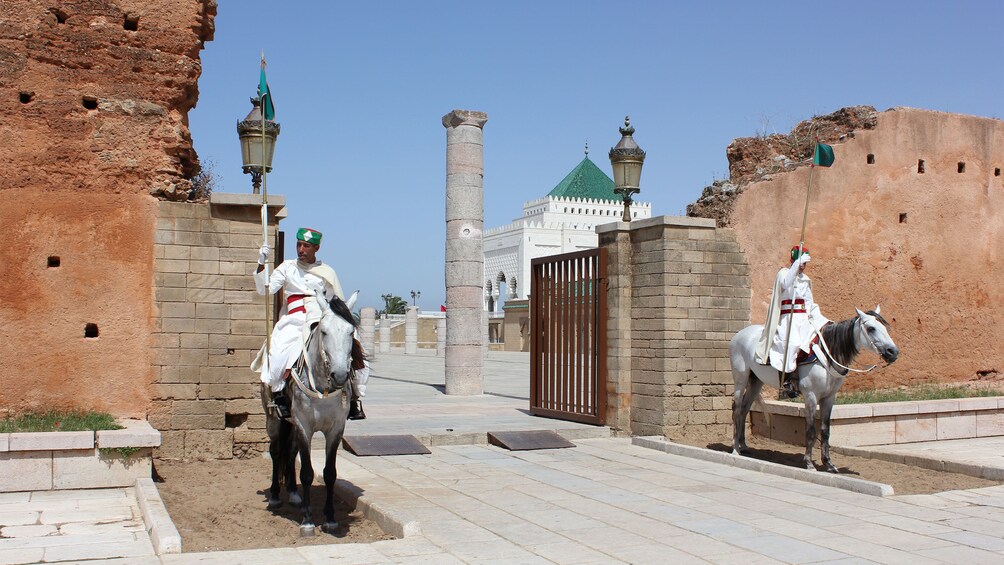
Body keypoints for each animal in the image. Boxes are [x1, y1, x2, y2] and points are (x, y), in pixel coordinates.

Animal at [726, 307, 899, 471]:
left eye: (884, 327)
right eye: (871, 328)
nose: (893, 352)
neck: (827, 357)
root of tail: (739, 335)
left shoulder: (829, 398)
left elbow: (825, 429)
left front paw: (829, 464)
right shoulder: (811, 396)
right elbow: (810, 430)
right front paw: (809, 463)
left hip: (756, 382)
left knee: (744, 409)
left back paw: (743, 446)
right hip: (741, 379)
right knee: (737, 408)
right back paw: (735, 449)